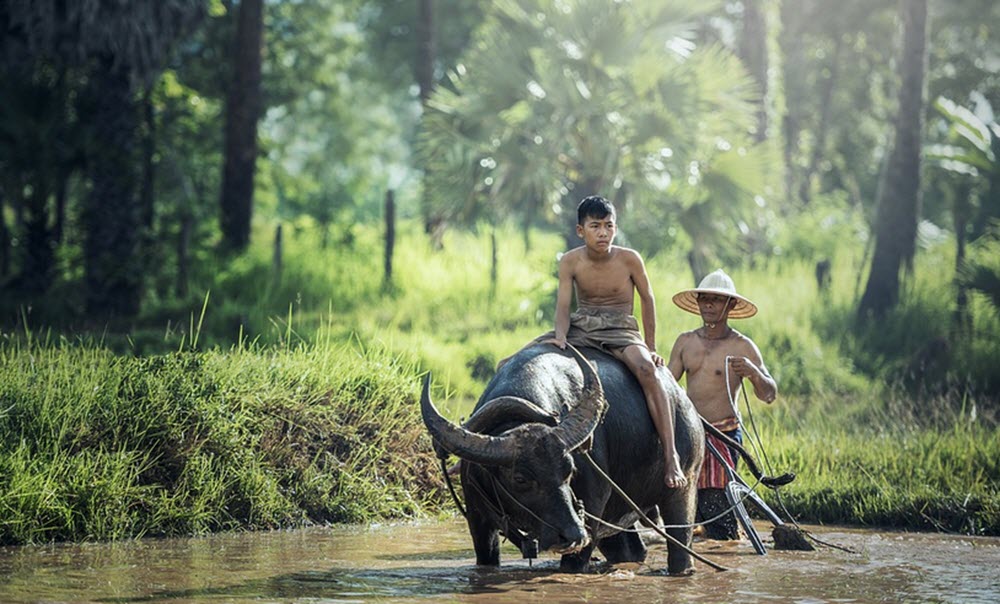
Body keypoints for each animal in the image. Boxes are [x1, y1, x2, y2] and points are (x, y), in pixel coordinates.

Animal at [422, 342, 704, 572]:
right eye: (520, 478)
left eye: (569, 470)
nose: (572, 535)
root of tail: (685, 402)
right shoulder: (478, 520)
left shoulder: (591, 512)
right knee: (631, 550)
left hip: (685, 486)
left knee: (680, 544)